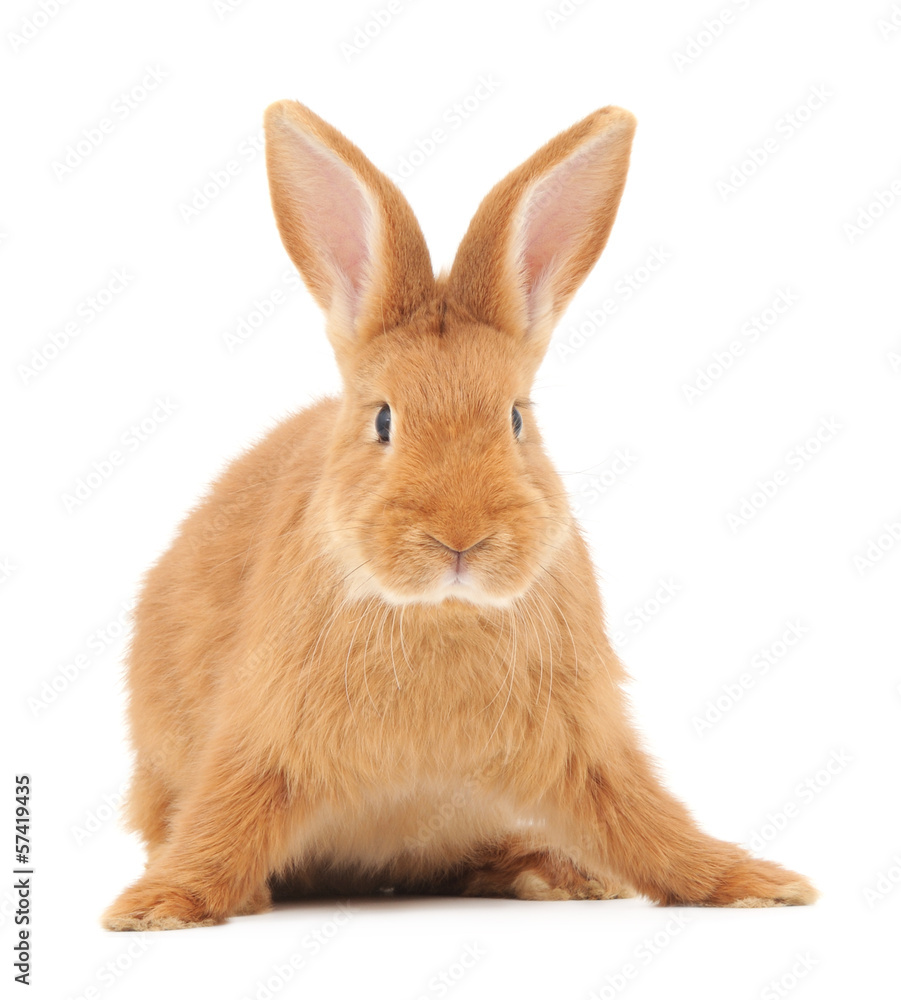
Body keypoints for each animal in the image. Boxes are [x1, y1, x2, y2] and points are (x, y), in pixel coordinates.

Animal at [102, 101, 818, 931]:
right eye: (383, 420)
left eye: (516, 418)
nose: (460, 539)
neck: (439, 613)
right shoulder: (256, 737)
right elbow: (220, 824)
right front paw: (156, 908)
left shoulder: (587, 747)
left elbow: (648, 826)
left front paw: (756, 885)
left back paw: (555, 873)